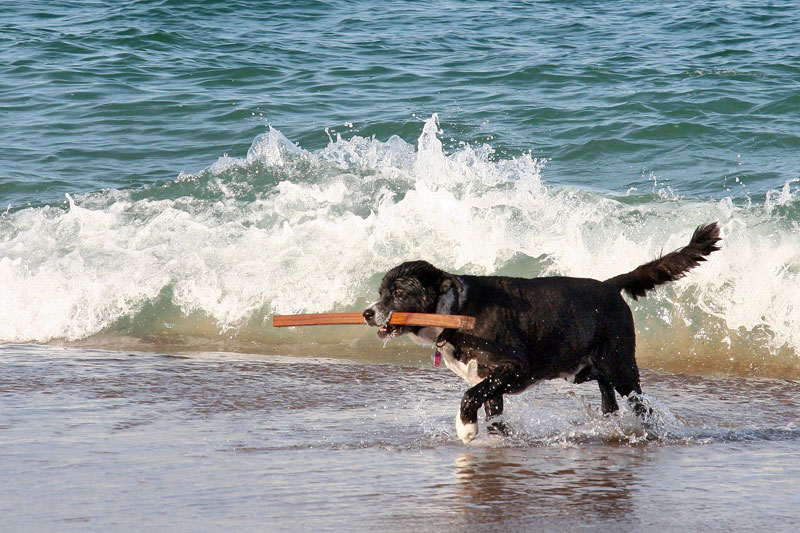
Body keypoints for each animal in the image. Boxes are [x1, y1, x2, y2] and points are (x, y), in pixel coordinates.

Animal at [366, 222, 720, 442]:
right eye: (381, 292)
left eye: (398, 292)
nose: (368, 313)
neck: (455, 311)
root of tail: (610, 285)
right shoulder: (491, 382)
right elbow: (491, 411)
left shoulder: (514, 368)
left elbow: (469, 396)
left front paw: (465, 428)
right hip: (586, 367)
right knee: (608, 397)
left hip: (620, 364)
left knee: (640, 403)